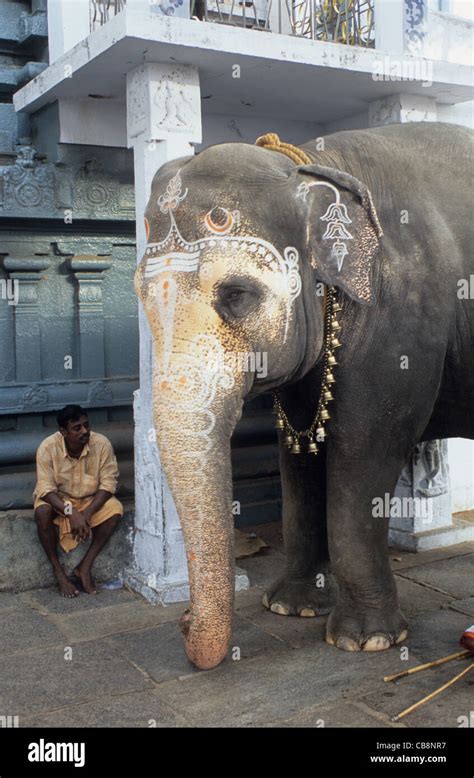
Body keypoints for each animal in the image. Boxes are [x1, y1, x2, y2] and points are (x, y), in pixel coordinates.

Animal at [134, 121, 474, 668]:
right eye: (141, 296)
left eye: (237, 295)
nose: (183, 622)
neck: (317, 166)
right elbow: (298, 453)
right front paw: (290, 607)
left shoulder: (401, 318)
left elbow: (365, 452)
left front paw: (366, 640)